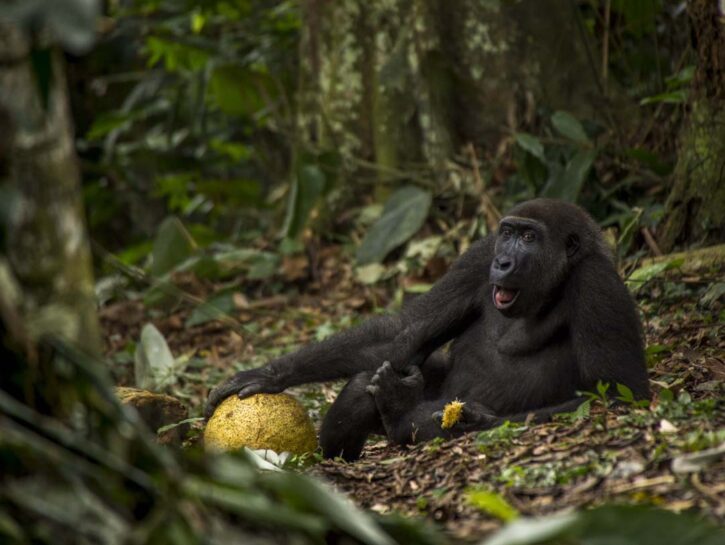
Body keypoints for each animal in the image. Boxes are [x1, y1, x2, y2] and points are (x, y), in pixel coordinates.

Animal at [206, 199, 648, 460]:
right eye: (507, 233)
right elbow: (404, 332)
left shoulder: (597, 285)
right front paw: (269, 373)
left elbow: (617, 394)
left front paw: (475, 420)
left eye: (529, 237)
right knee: (371, 376)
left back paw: (401, 414)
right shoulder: (478, 256)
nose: (503, 262)